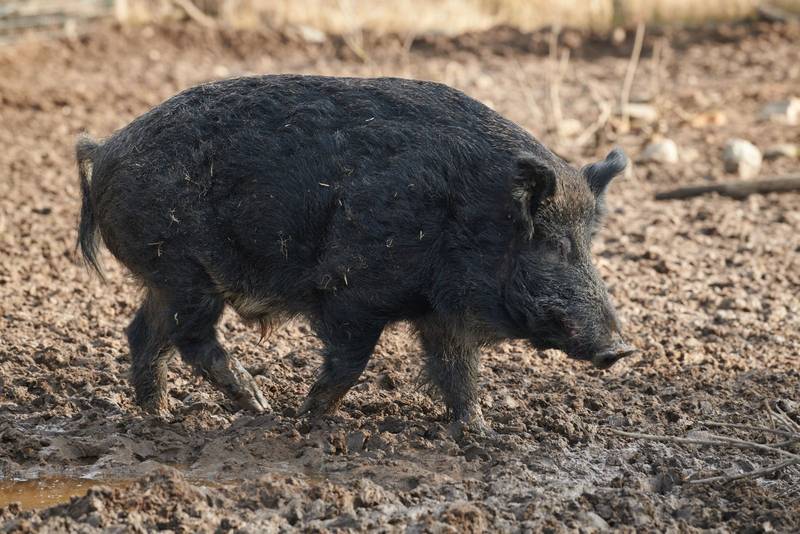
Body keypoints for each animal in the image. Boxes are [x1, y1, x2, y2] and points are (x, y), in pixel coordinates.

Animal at [77, 75, 635, 429]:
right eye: (553, 244)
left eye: (588, 243)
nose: (621, 348)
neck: (466, 214)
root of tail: (104, 149)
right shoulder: (350, 291)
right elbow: (354, 358)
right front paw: (307, 418)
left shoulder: (439, 314)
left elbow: (459, 371)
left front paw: (481, 433)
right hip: (182, 270)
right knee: (186, 336)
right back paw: (253, 408)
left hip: (169, 278)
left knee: (144, 333)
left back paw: (166, 413)